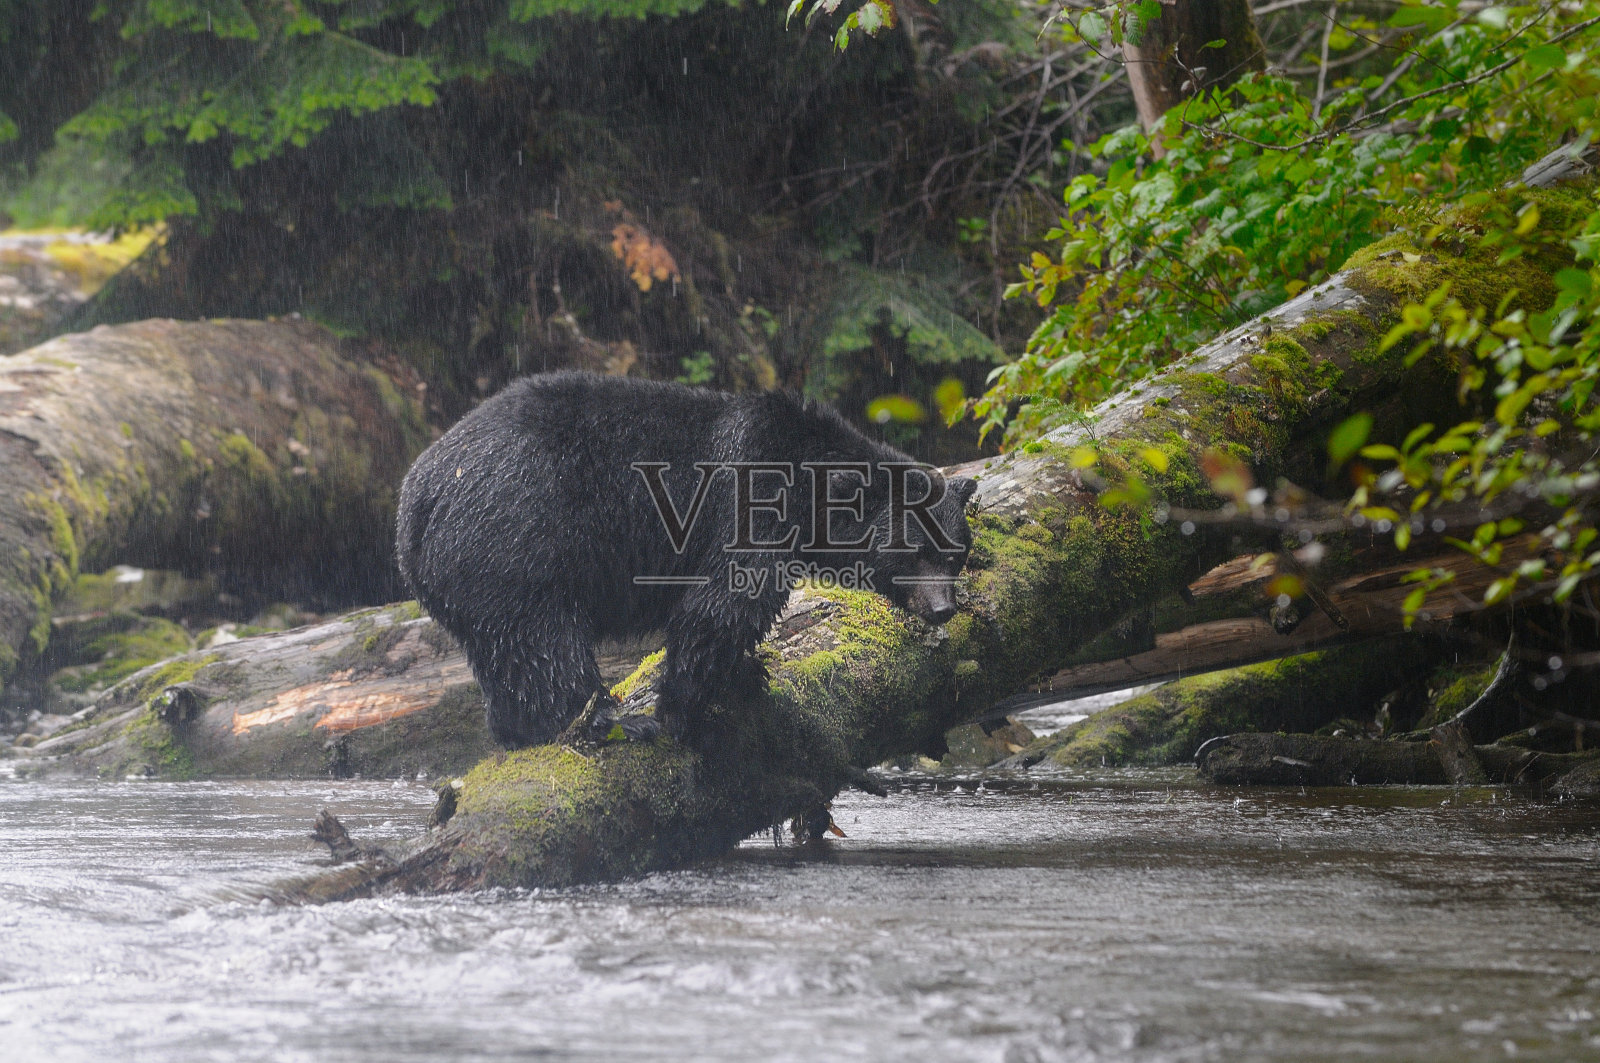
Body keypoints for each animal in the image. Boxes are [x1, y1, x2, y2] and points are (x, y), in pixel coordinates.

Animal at [395, 372, 976, 749]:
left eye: (955, 552)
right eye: (913, 550)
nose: (943, 609)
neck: (808, 484)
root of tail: (415, 500)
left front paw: (746, 674)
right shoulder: (749, 501)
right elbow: (723, 602)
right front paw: (686, 709)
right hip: (517, 532)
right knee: (542, 636)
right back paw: (607, 721)